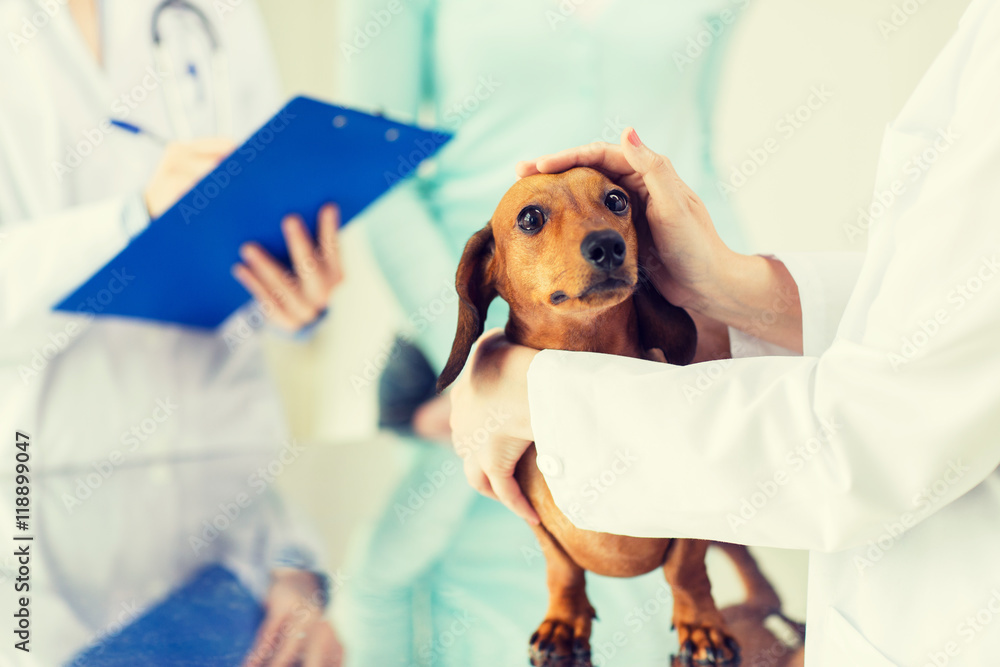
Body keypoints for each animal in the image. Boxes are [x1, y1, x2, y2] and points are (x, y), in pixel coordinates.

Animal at [438, 168, 756, 667]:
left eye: (617, 200)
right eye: (530, 217)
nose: (608, 245)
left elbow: (685, 570)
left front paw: (702, 625)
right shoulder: (532, 515)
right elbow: (562, 569)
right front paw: (565, 622)